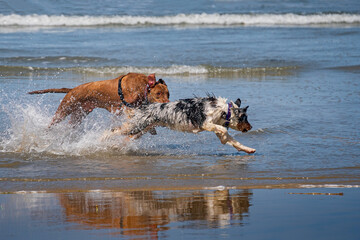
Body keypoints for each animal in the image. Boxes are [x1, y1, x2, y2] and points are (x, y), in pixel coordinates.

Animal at [28, 72, 169, 126]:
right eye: (158, 94)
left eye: (168, 94)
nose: (167, 104)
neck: (142, 85)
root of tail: (72, 89)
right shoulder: (124, 105)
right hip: (63, 110)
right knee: (52, 123)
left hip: (79, 115)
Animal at [102, 96, 256, 154]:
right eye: (245, 118)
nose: (250, 128)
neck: (224, 110)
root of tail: (143, 107)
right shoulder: (205, 123)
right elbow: (222, 129)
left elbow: (233, 141)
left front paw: (248, 149)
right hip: (135, 126)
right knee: (113, 130)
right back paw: (101, 139)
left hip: (141, 130)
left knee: (125, 139)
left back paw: (115, 146)